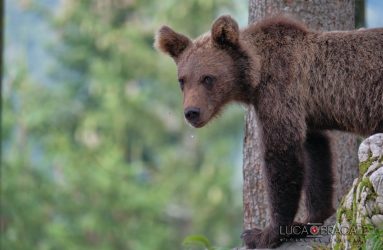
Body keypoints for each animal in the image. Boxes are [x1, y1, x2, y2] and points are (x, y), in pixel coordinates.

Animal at [154, 15, 382, 248]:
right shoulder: (306, 114)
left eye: (207, 78)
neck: (256, 74)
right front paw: (309, 220)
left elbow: (282, 156)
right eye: (182, 80)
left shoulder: (279, 92)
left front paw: (263, 233)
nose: (191, 112)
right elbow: (315, 154)